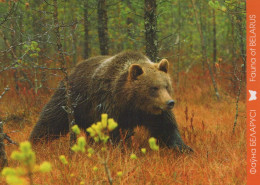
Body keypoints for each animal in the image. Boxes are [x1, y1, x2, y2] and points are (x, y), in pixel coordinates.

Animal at [29, 51, 193, 153]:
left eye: (166, 85)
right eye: (154, 88)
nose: (170, 102)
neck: (132, 103)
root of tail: (74, 69)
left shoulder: (154, 113)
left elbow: (166, 128)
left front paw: (184, 148)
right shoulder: (109, 105)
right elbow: (112, 131)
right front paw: (120, 149)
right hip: (71, 98)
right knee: (51, 120)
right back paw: (35, 142)